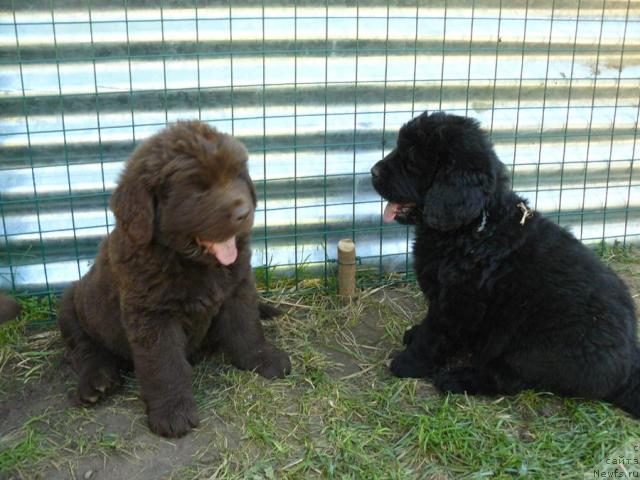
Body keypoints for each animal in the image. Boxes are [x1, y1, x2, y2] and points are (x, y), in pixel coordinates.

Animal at [57, 121, 292, 438]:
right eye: (197, 190)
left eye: (237, 176)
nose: (244, 213)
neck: (191, 261)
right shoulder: (153, 317)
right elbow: (164, 365)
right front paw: (172, 412)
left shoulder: (238, 288)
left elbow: (247, 328)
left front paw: (264, 359)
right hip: (71, 303)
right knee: (85, 348)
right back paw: (97, 381)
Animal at [370, 109, 640, 416]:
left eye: (412, 160)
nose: (373, 171)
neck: (474, 226)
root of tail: (629, 367)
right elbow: (431, 323)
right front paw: (414, 334)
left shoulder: (459, 302)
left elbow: (435, 333)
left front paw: (408, 362)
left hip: (536, 349)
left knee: (508, 378)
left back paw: (455, 379)